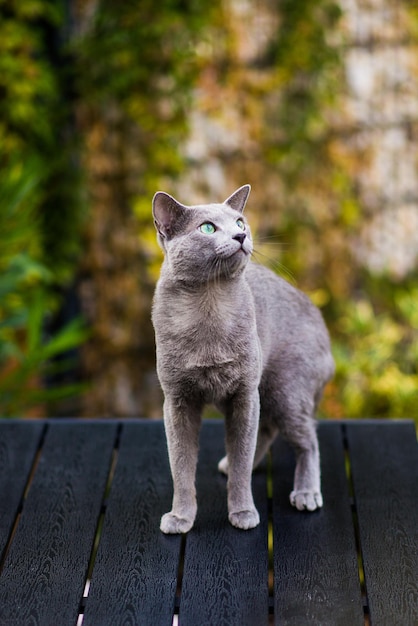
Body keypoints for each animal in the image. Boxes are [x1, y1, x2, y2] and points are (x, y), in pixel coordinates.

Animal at [152, 184, 334, 532]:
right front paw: (181, 517)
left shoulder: (244, 393)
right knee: (265, 430)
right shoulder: (177, 400)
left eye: (240, 222)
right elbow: (180, 465)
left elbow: (241, 456)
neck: (209, 304)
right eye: (208, 228)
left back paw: (306, 493)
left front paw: (243, 513)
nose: (241, 236)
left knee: (307, 441)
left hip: (285, 389)